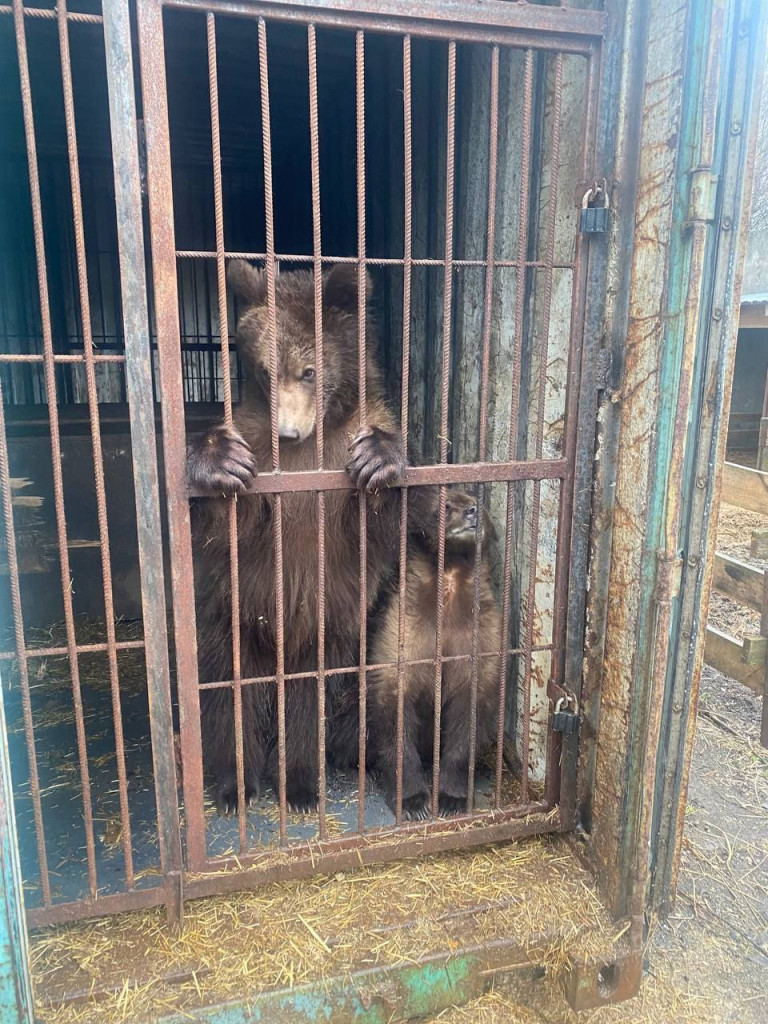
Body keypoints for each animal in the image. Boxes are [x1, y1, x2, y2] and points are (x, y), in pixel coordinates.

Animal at [188, 264, 428, 815]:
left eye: (310, 371)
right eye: (264, 370)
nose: (290, 432)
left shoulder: (346, 455)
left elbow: (374, 523)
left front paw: (380, 461)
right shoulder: (259, 451)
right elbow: (230, 525)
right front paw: (217, 460)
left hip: (330, 632)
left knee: (308, 701)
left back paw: (300, 784)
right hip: (232, 618)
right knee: (228, 694)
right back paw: (235, 784)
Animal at [368, 491, 501, 819]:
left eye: (476, 499)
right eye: (445, 505)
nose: (472, 511)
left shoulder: (480, 637)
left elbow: (468, 718)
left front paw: (452, 798)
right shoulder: (405, 633)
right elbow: (395, 713)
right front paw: (414, 801)